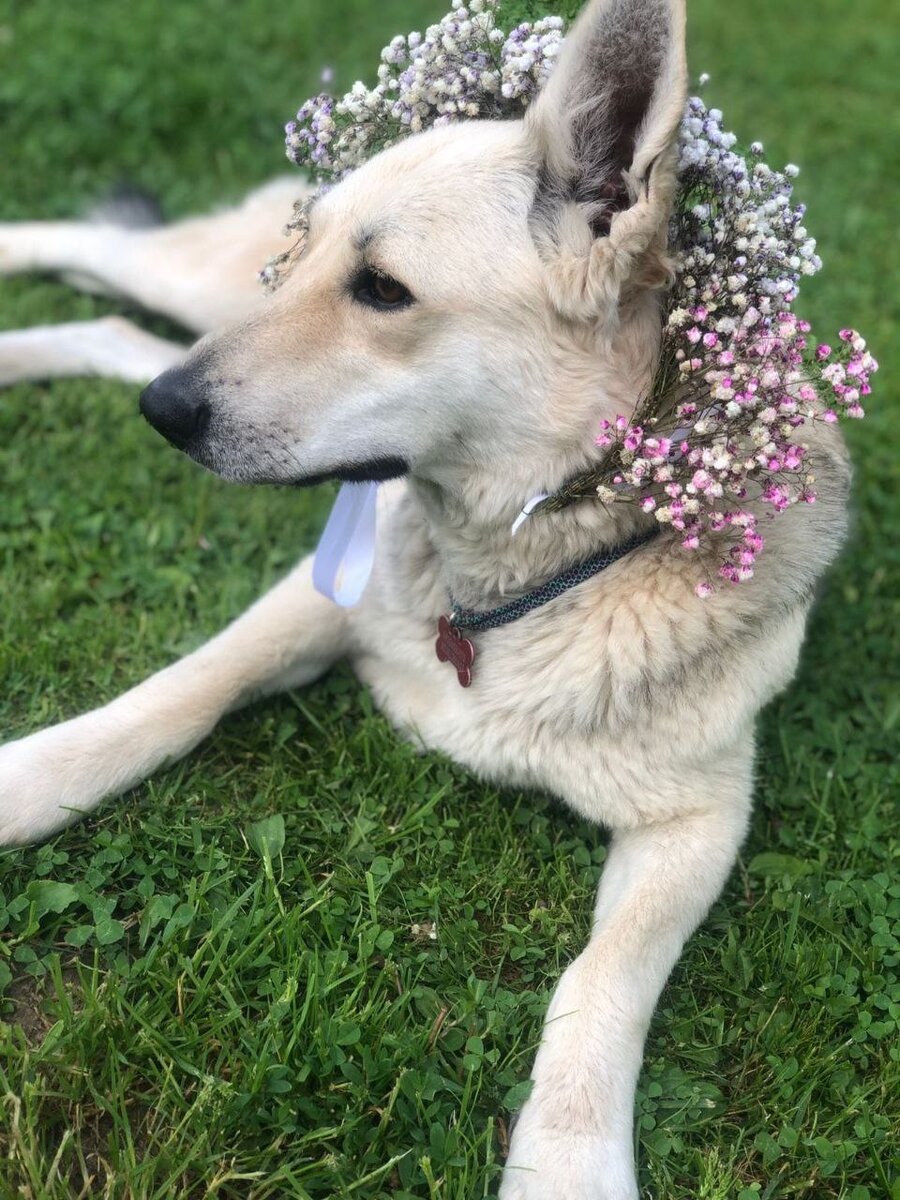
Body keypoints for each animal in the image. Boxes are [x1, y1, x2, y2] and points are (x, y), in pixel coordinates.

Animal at [0, 2, 854, 1200]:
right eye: (315, 260)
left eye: (384, 291)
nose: (164, 415)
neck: (516, 576)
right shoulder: (314, 597)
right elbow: (174, 697)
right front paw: (25, 780)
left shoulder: (701, 819)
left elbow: (603, 977)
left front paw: (568, 1157)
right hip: (210, 285)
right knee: (105, 268)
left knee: (118, 334)